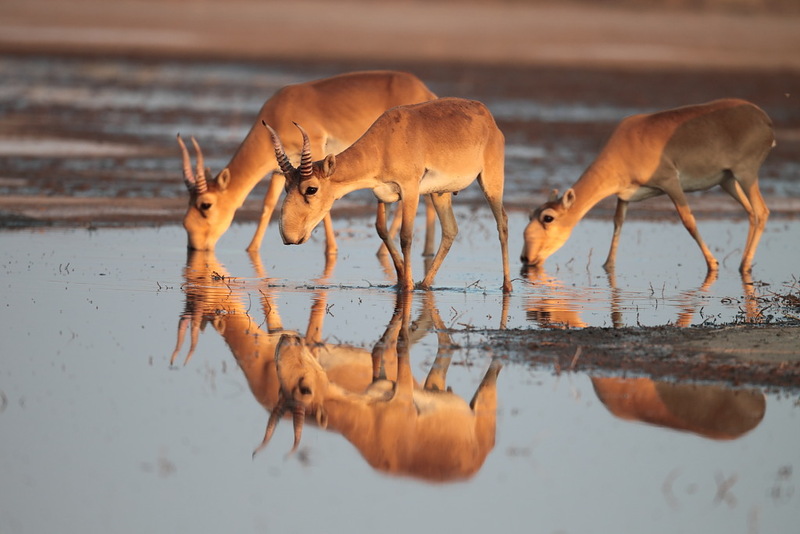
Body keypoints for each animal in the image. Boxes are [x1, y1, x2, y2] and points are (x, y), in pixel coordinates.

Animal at [179, 71, 438, 253]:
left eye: (205, 204)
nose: (194, 246)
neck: (279, 112)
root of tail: (426, 92)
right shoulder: (279, 171)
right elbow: (267, 205)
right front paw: (251, 249)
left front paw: (332, 250)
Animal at [266, 98, 510, 296]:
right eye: (286, 186)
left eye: (311, 189)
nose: (288, 236)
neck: (385, 143)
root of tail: (488, 118)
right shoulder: (382, 195)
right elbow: (381, 229)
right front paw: (401, 280)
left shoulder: (410, 190)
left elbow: (406, 236)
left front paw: (407, 286)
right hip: (440, 193)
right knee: (451, 230)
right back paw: (425, 284)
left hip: (491, 182)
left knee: (502, 223)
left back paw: (507, 287)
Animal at [520, 98, 776, 276]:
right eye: (531, 214)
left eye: (548, 217)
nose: (525, 258)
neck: (627, 143)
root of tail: (764, 118)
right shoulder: (624, 196)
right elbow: (618, 223)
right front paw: (608, 265)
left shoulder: (671, 183)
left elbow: (689, 221)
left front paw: (712, 264)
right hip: (728, 181)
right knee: (751, 213)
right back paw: (744, 264)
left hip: (746, 174)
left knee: (762, 211)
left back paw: (744, 265)